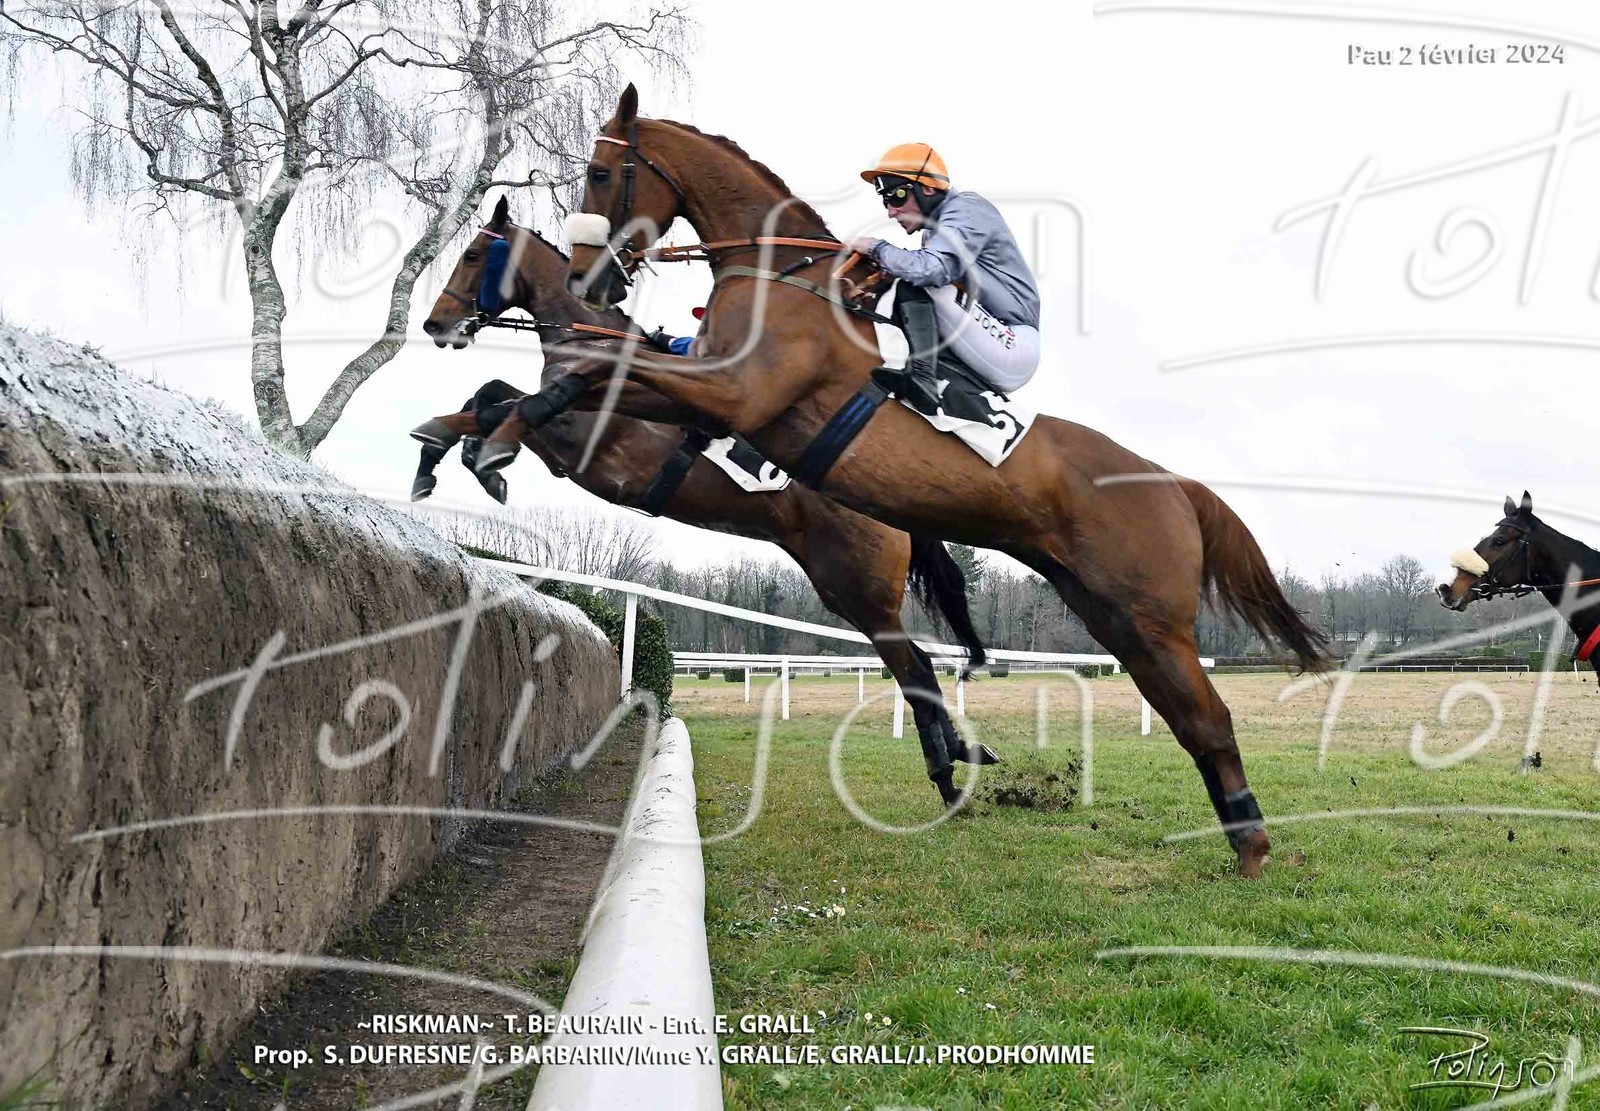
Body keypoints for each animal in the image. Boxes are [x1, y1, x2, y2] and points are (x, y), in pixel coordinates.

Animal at [414, 195, 998, 806]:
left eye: (472, 255)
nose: (435, 323)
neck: (593, 344)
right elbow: (492, 396)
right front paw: (451, 455)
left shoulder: (579, 442)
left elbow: (498, 405)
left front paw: (459, 449)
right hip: (845, 591)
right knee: (918, 666)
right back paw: (963, 753)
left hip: (861, 589)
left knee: (915, 668)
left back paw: (946, 773)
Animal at [543, 85, 1330, 876]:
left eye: (602, 173)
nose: (586, 277)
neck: (780, 278)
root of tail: (1174, 482)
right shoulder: (699, 395)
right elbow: (601, 377)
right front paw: (529, 401)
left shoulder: (732, 392)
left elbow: (604, 375)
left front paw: (522, 412)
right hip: (1113, 617)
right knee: (1182, 715)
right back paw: (1235, 835)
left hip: (1147, 618)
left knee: (1208, 715)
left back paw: (1250, 848)